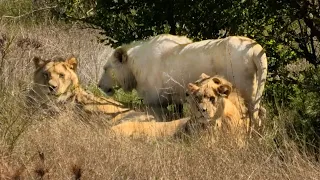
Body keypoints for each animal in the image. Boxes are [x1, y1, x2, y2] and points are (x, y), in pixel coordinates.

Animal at [97, 33, 268, 129]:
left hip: (242, 87)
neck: (133, 69)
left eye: (105, 68)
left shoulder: (156, 101)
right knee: (260, 114)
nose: (99, 85)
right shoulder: (175, 97)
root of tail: (255, 49)